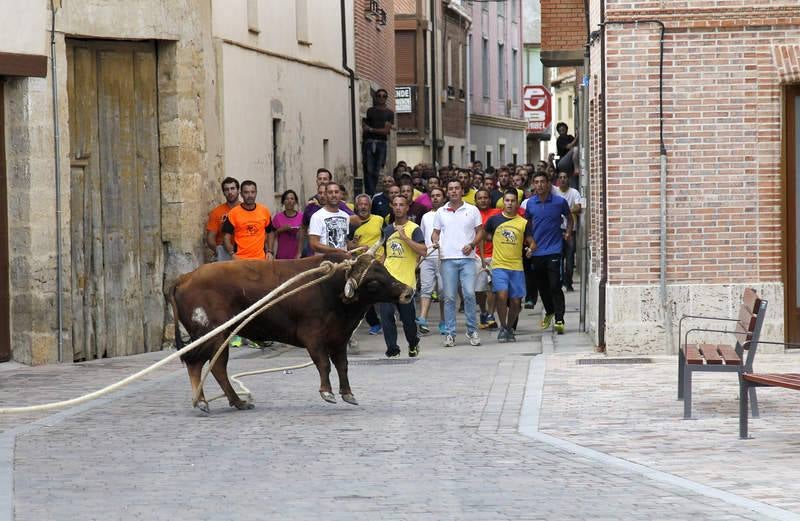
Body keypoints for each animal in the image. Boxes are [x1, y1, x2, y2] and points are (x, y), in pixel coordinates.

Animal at [168, 250, 412, 412]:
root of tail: (185, 276)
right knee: (204, 364)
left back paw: (227, 401)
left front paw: (348, 394)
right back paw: (213, 401)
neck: (330, 287)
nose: (408, 292)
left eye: (386, 271)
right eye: (373, 282)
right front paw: (327, 392)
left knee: (208, 365)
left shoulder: (339, 337)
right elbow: (324, 364)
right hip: (212, 335)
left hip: (217, 337)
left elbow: (342, 365)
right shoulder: (313, 336)